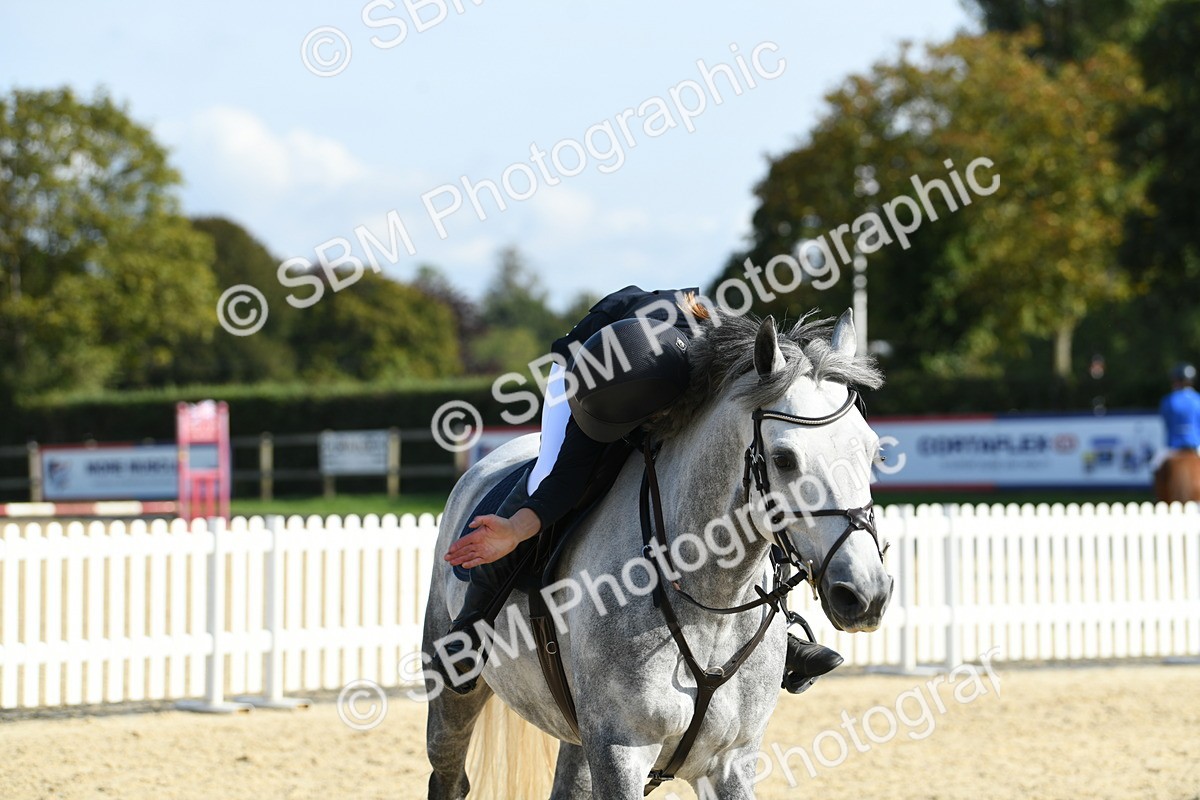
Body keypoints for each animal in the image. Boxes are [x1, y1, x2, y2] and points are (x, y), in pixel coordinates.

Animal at [422, 310, 894, 799]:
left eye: (874, 453)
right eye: (784, 459)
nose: (866, 595)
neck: (710, 600)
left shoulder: (731, 762)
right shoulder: (620, 753)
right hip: (453, 699)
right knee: (449, 772)